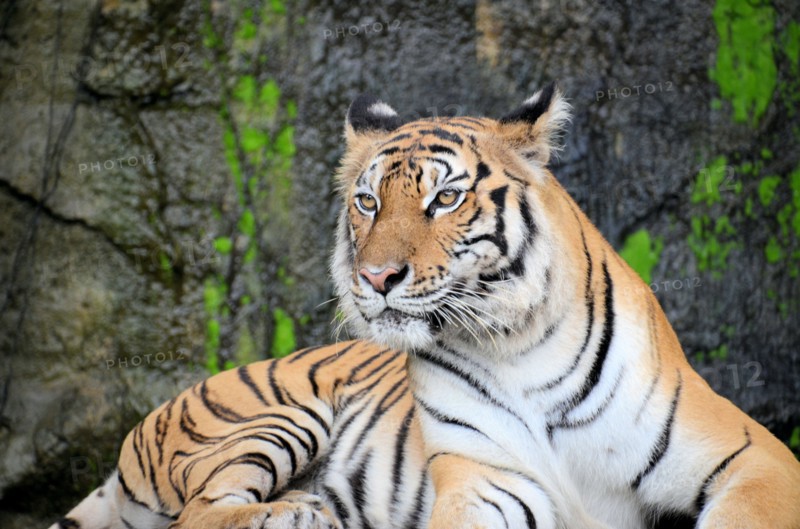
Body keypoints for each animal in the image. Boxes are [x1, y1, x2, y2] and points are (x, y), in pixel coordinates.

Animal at [49, 84, 800, 529]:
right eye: (367, 201)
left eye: (445, 198)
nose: (377, 276)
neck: (518, 344)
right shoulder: (487, 480)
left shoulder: (754, 458)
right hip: (271, 417)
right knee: (200, 513)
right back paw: (298, 514)